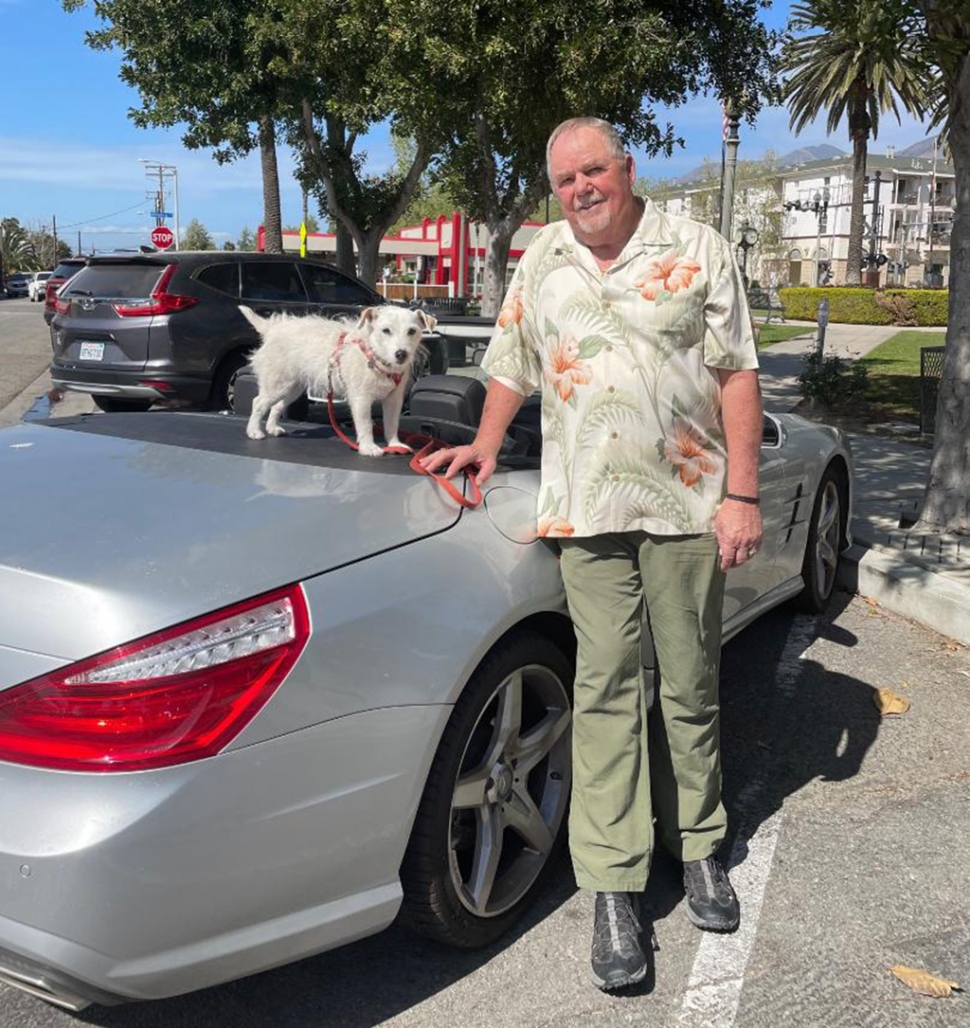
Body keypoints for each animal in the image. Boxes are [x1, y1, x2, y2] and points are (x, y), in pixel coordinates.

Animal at [240, 300, 437, 454]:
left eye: (412, 331)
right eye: (386, 330)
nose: (401, 354)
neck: (375, 357)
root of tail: (273, 328)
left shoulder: (393, 401)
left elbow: (392, 424)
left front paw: (395, 444)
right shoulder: (361, 400)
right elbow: (366, 425)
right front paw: (368, 447)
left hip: (291, 388)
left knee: (277, 406)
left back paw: (272, 427)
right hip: (277, 385)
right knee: (258, 403)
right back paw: (253, 431)